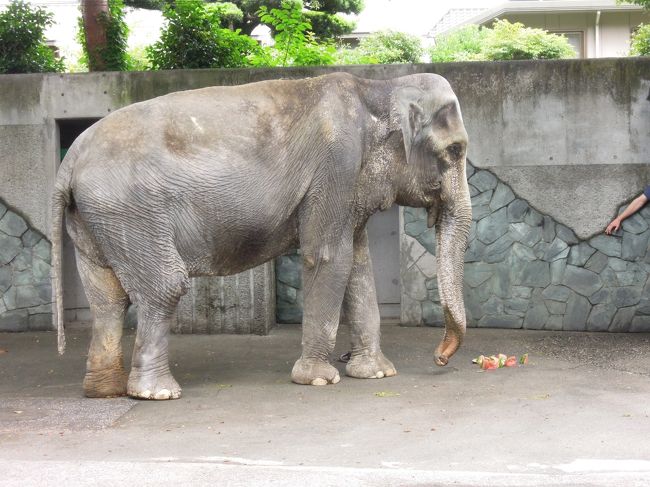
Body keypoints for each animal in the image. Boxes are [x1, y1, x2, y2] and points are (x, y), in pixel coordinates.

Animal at [48, 71, 468, 400]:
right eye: (455, 150)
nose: (439, 357)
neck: (377, 87)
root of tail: (70, 159)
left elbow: (358, 267)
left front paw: (377, 373)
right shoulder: (336, 164)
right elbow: (328, 257)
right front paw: (319, 380)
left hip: (97, 218)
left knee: (107, 298)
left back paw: (104, 390)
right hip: (131, 211)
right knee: (164, 287)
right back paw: (157, 393)